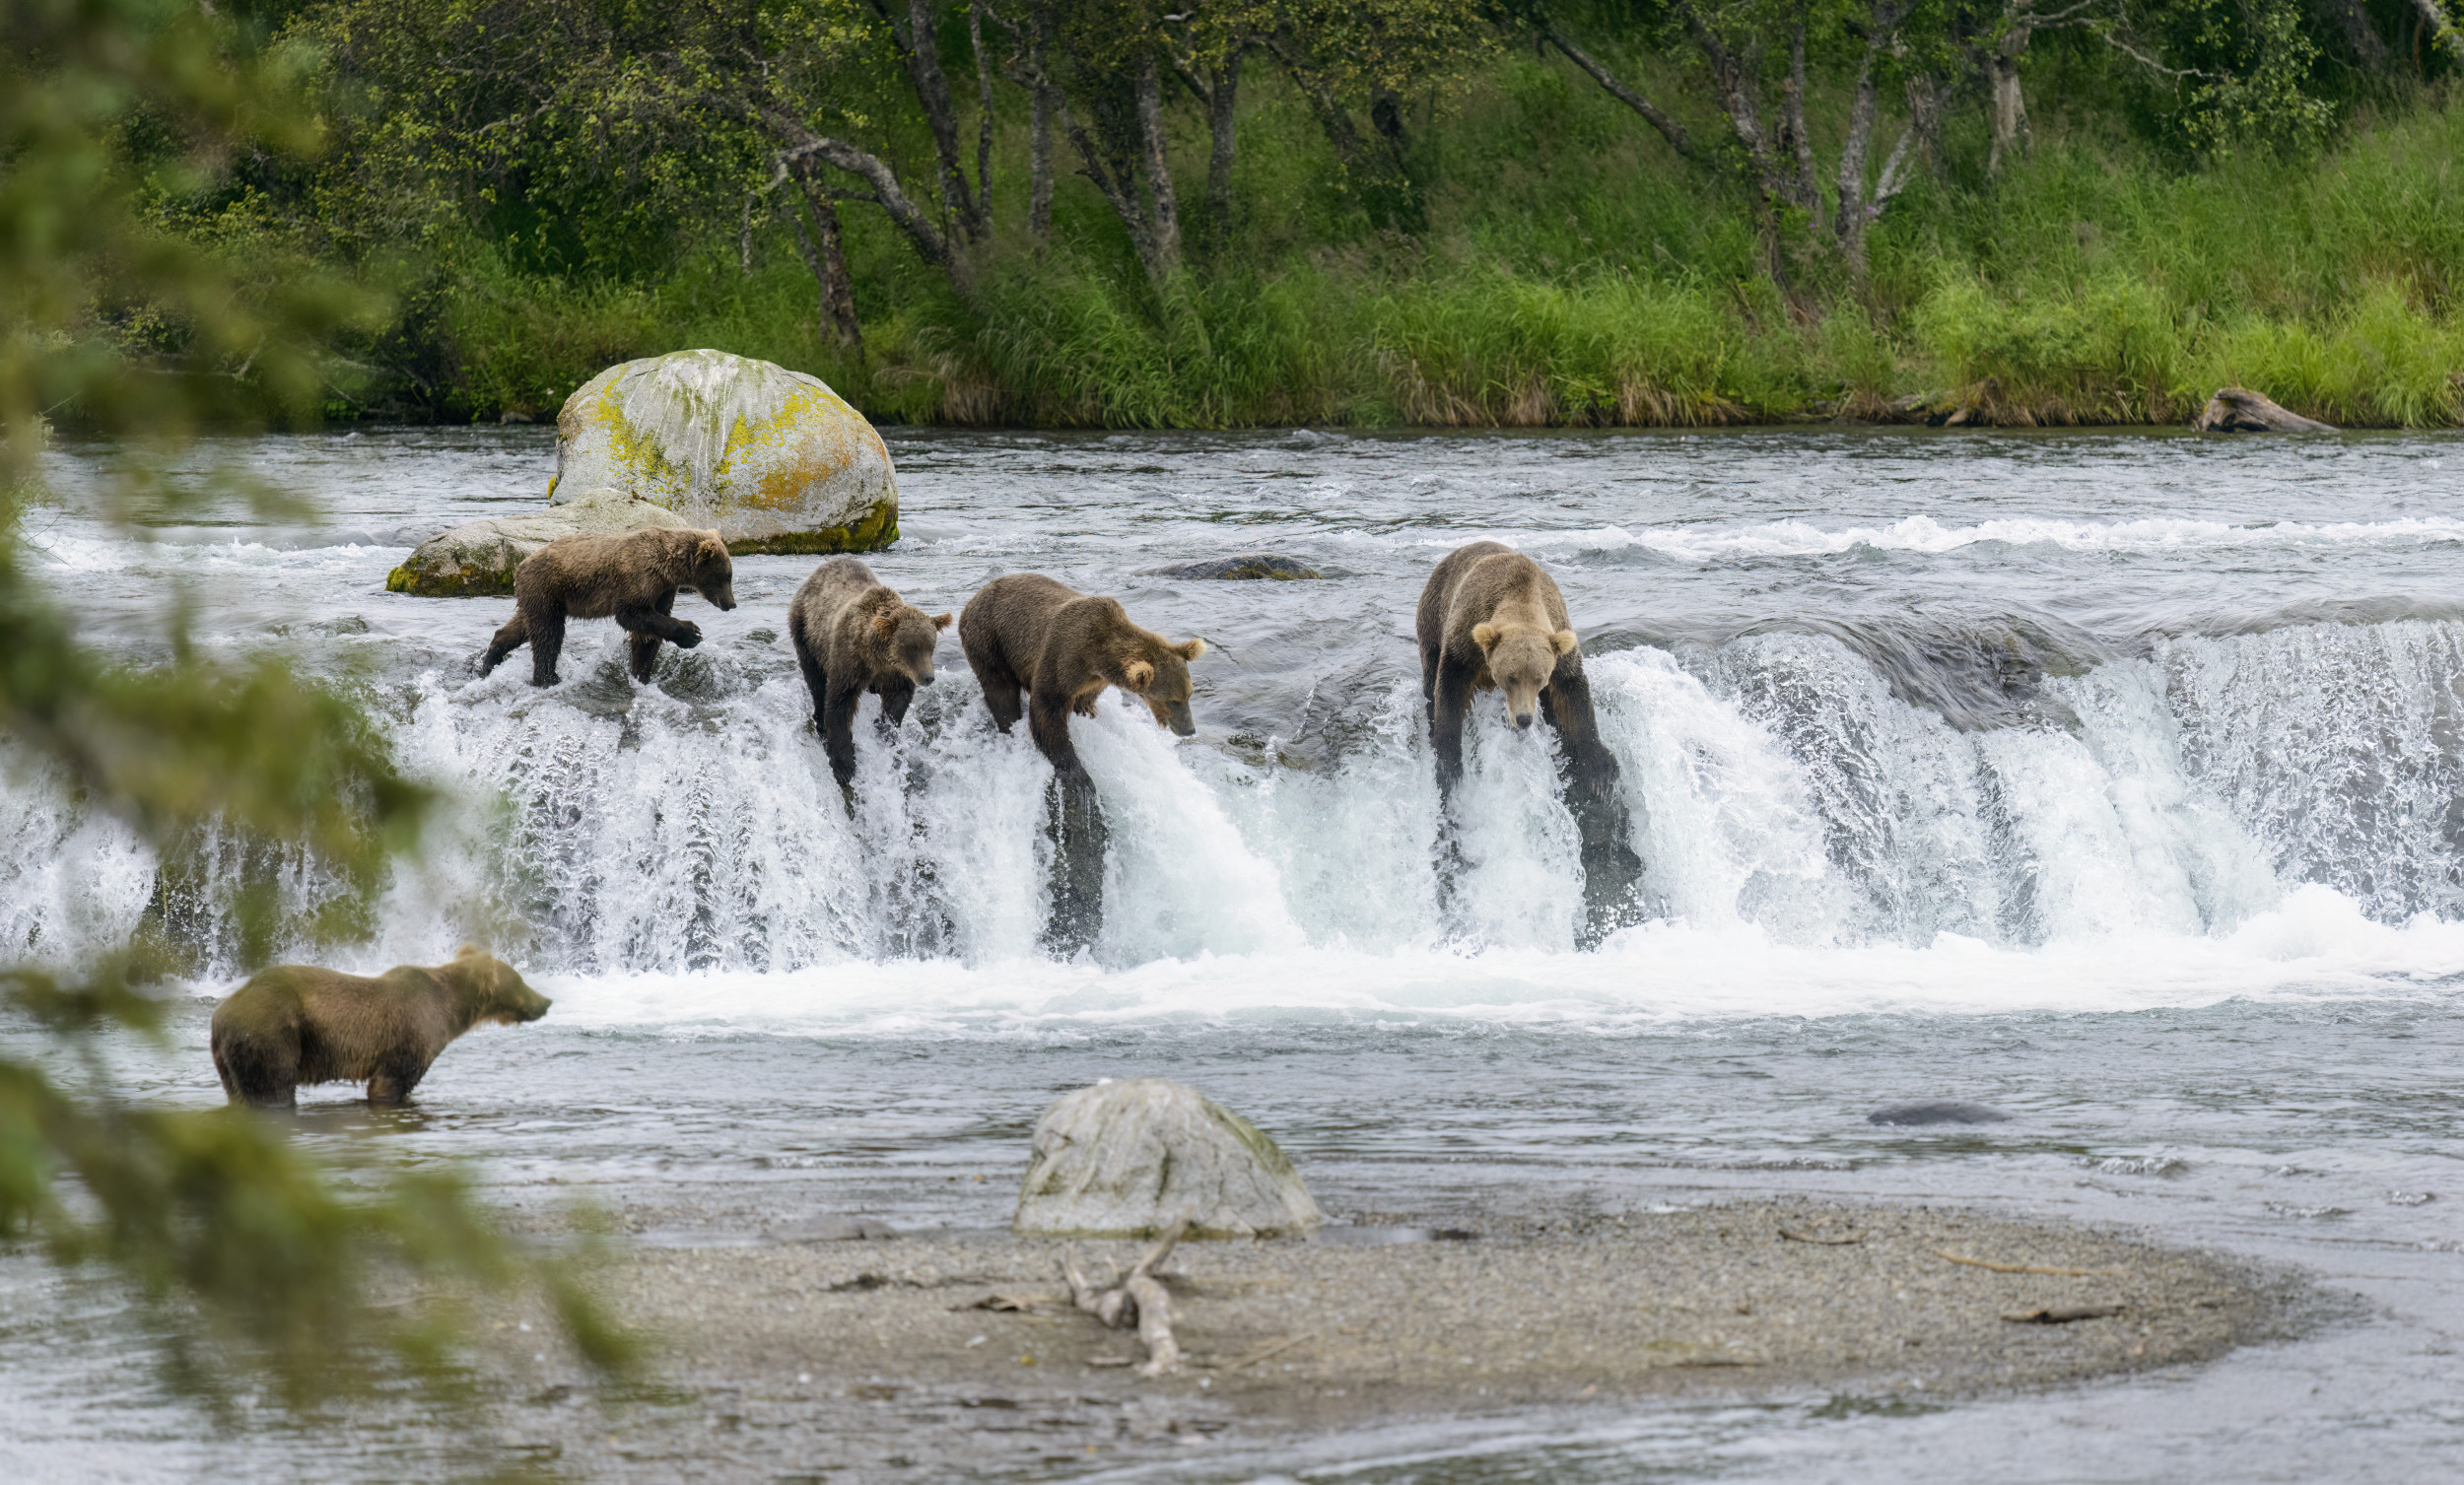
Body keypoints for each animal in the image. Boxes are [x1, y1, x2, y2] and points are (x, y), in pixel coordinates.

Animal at [209, 945, 552, 1108]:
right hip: (272, 1032)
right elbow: (391, 1083)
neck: (450, 1008)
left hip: (228, 1058)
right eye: (521, 979)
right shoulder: (410, 1037)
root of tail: (221, 1013)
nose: (546, 1001)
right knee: (273, 1088)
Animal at [475, 526, 734, 689]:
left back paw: (490, 660)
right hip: (548, 589)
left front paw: (640, 673)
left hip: (538, 597)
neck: (669, 566)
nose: (731, 603)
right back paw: (547, 677)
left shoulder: (663, 590)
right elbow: (631, 614)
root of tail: (520, 565)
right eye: (725, 576)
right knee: (548, 634)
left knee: (521, 627)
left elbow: (647, 634)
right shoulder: (640, 578)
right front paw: (691, 633)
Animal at [788, 554, 951, 787]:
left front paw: (884, 728)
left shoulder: (894, 674)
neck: (877, 657)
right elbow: (839, 702)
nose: (928, 677)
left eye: (931, 646)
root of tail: (813, 575)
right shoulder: (850, 660)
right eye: (911, 648)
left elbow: (899, 699)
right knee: (815, 680)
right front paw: (844, 766)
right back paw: (819, 720)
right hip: (807, 632)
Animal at [956, 569, 1207, 777]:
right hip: (989, 638)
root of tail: (972, 598)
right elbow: (1048, 705)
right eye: (1171, 700)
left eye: (1189, 694)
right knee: (1001, 689)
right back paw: (1007, 721)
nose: (1189, 729)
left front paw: (1088, 713)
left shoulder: (1094, 680)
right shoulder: (1065, 653)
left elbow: (1084, 701)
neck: (1098, 656)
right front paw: (1074, 768)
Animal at [1419, 539, 1646, 945]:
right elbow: (1449, 685)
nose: (1524, 719)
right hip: (1432, 613)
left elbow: (1574, 698)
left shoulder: (1561, 647)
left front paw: (1601, 771)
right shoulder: (1464, 636)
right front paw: (1448, 759)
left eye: (1538, 678)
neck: (1519, 595)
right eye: (1510, 677)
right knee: (1430, 672)